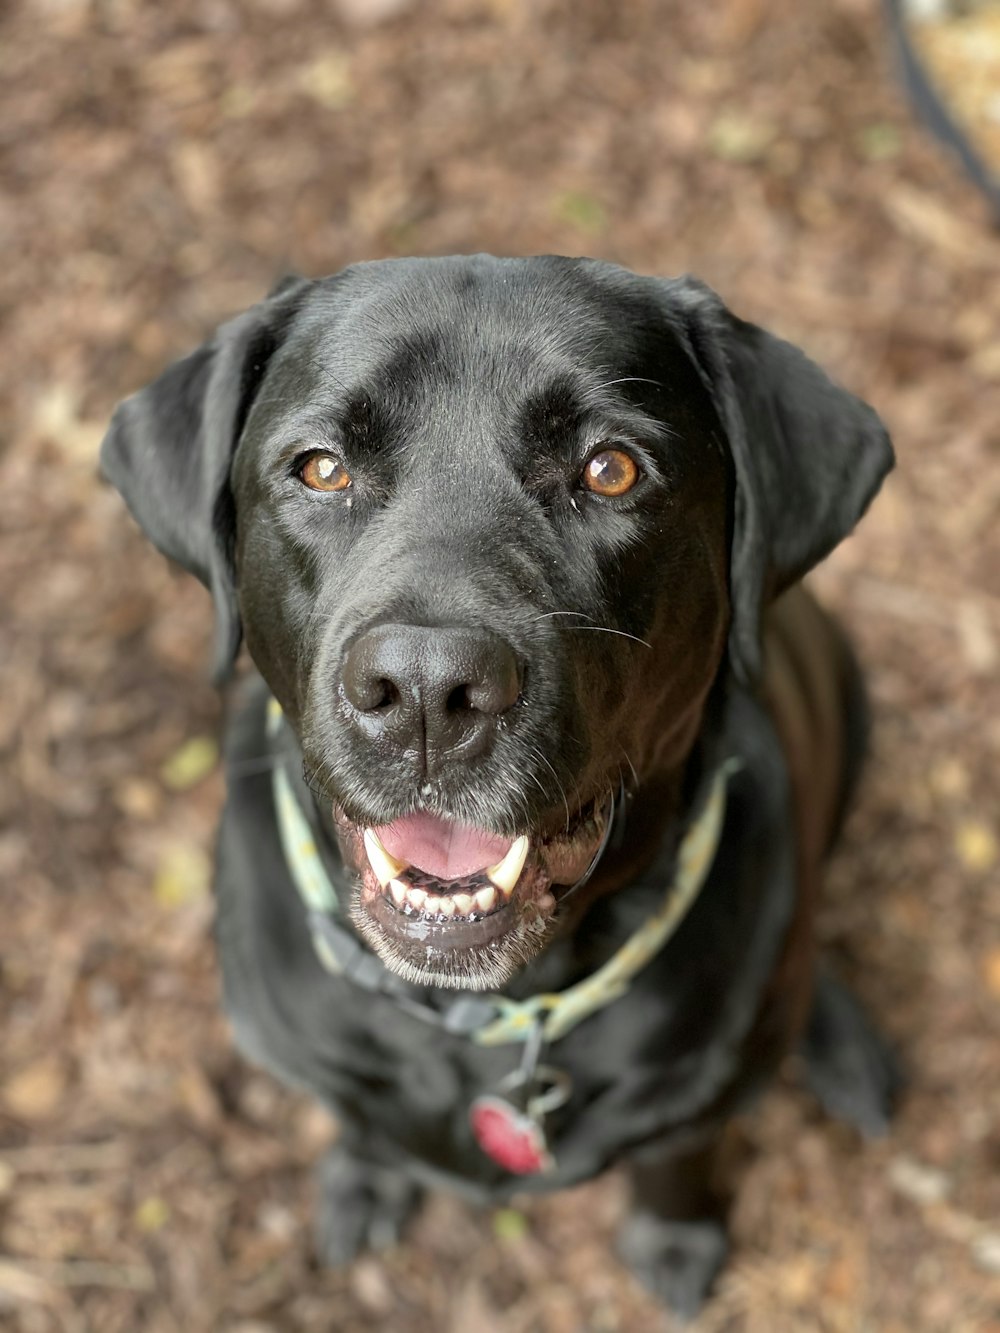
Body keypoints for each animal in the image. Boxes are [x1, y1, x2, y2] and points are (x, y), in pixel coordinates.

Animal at [104, 254, 901, 1317]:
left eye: (611, 468)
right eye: (322, 467)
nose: (426, 690)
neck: (488, 1016)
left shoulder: (701, 1096)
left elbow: (677, 1158)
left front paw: (676, 1239)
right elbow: (360, 1121)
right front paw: (365, 1177)